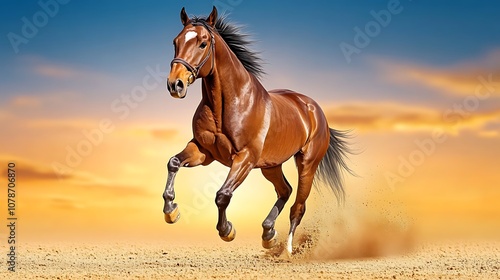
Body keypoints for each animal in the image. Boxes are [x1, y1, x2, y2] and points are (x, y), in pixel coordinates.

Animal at [164, 6, 352, 254]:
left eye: (203, 43)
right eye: (175, 42)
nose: (175, 85)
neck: (227, 105)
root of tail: (315, 110)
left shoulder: (245, 158)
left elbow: (222, 195)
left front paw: (227, 231)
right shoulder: (204, 152)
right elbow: (174, 163)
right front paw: (171, 211)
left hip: (307, 165)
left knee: (298, 207)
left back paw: (287, 251)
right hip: (271, 166)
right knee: (285, 190)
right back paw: (268, 234)